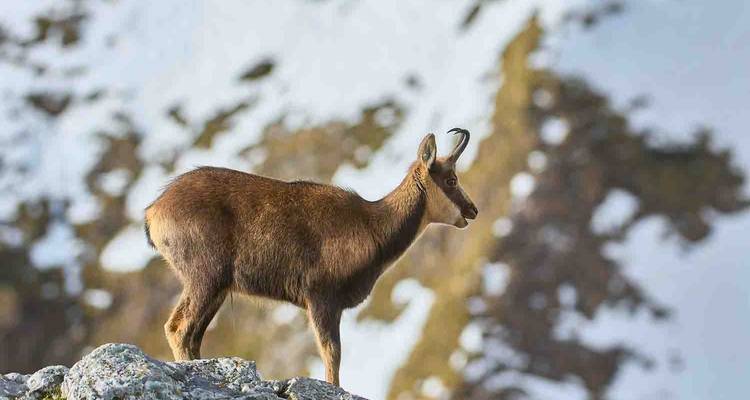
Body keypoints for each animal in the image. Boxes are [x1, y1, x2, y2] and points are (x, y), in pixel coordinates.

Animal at [144, 128, 478, 386]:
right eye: (451, 180)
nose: (472, 211)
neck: (372, 225)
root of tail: (154, 210)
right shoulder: (321, 298)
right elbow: (332, 352)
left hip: (217, 289)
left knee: (193, 335)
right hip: (206, 278)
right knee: (178, 328)